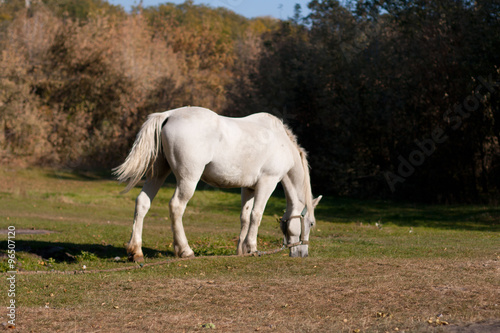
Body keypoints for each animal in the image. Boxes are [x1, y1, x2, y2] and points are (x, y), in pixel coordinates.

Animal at [114, 106, 320, 260]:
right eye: (310, 223)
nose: (303, 253)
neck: (281, 142)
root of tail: (168, 115)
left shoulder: (248, 188)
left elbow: (245, 217)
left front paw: (241, 250)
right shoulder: (267, 183)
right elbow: (256, 215)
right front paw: (252, 248)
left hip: (157, 174)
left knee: (142, 203)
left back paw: (136, 251)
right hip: (188, 179)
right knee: (176, 206)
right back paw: (185, 250)